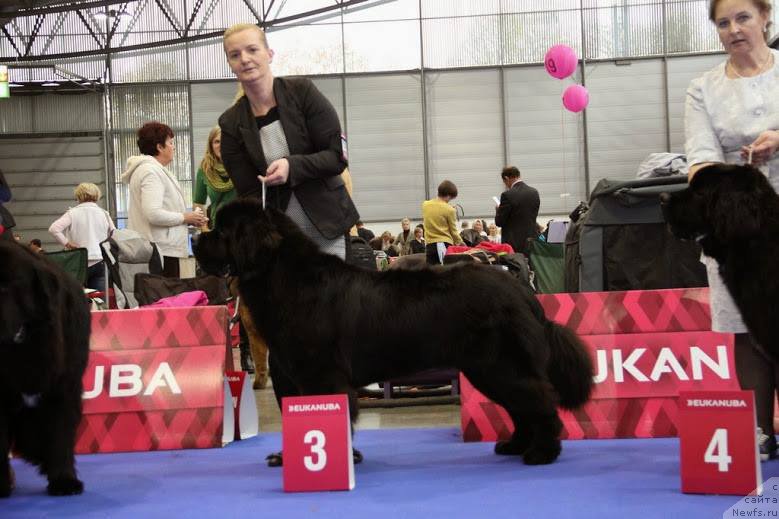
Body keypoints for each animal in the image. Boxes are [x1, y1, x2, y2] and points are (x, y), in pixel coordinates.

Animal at [193, 199, 592, 468]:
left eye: (222, 231)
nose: (195, 240)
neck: (284, 275)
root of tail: (520, 288)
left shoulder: (322, 374)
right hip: (489, 369)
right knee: (522, 404)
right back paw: (516, 446)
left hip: (501, 365)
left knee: (539, 399)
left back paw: (542, 452)